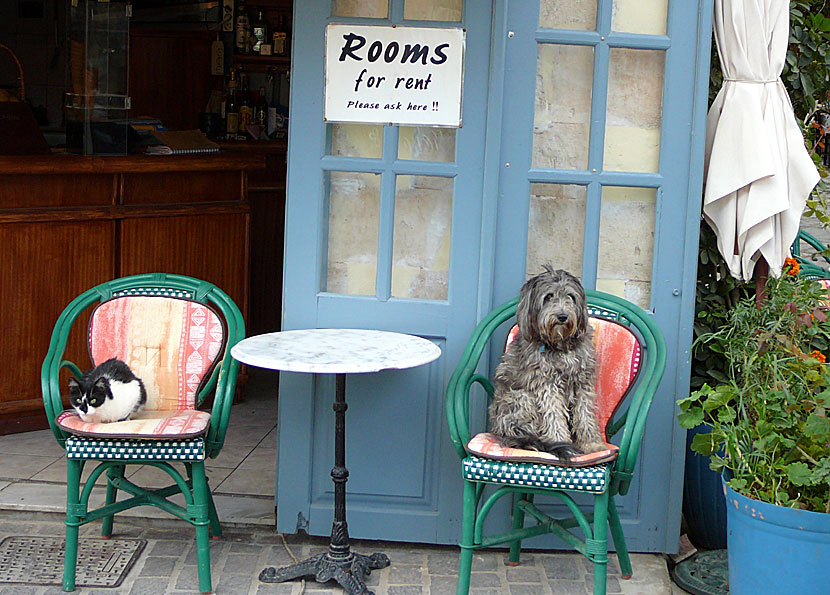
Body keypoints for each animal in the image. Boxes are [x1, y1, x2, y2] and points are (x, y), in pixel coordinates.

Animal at [490, 268, 608, 458]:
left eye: (570, 296)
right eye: (548, 296)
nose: (562, 316)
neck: (560, 346)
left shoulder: (582, 382)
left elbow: (585, 414)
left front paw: (592, 444)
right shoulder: (546, 383)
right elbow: (553, 415)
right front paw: (559, 441)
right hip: (520, 397)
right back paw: (534, 444)